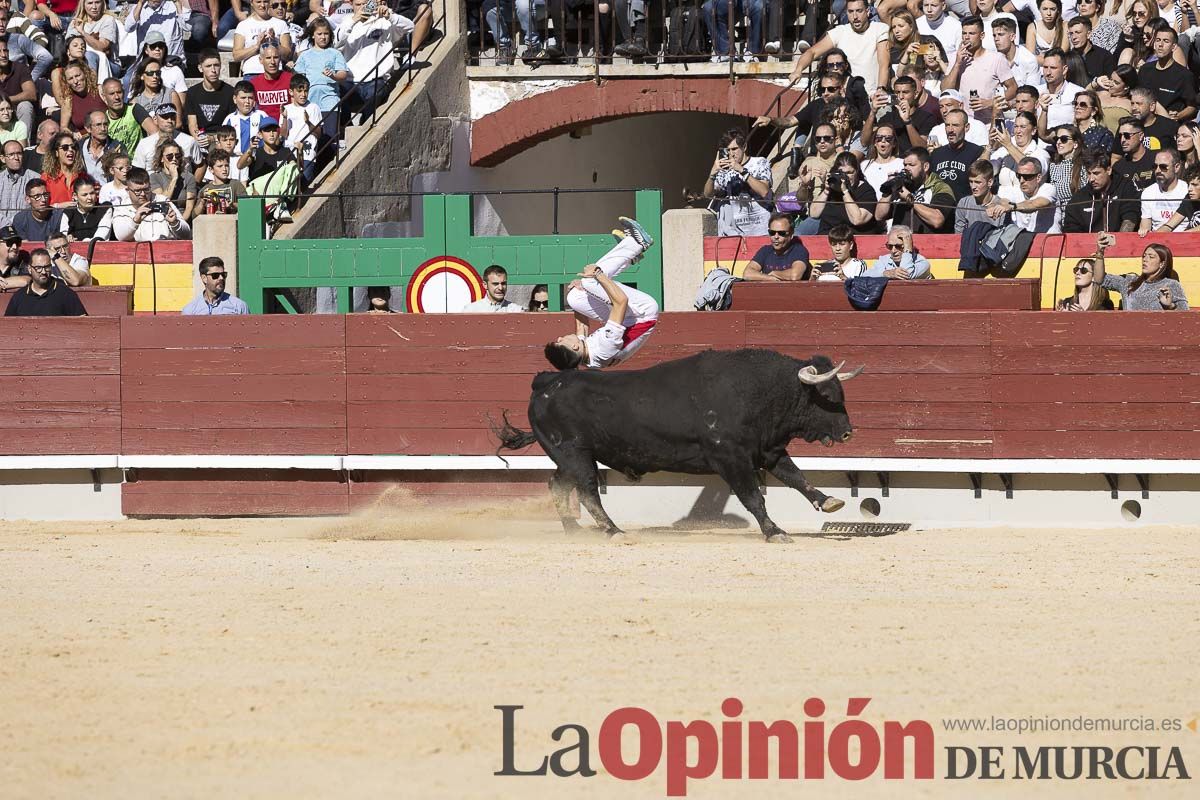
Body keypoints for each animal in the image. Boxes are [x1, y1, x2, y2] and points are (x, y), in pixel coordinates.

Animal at [494, 350, 864, 544]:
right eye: (827, 395)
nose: (848, 433)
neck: (758, 391)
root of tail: (546, 382)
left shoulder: (769, 452)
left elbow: (798, 478)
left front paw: (828, 501)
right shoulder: (730, 457)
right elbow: (753, 497)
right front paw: (774, 532)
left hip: (566, 457)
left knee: (557, 484)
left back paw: (573, 531)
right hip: (576, 454)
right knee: (586, 492)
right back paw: (614, 531)